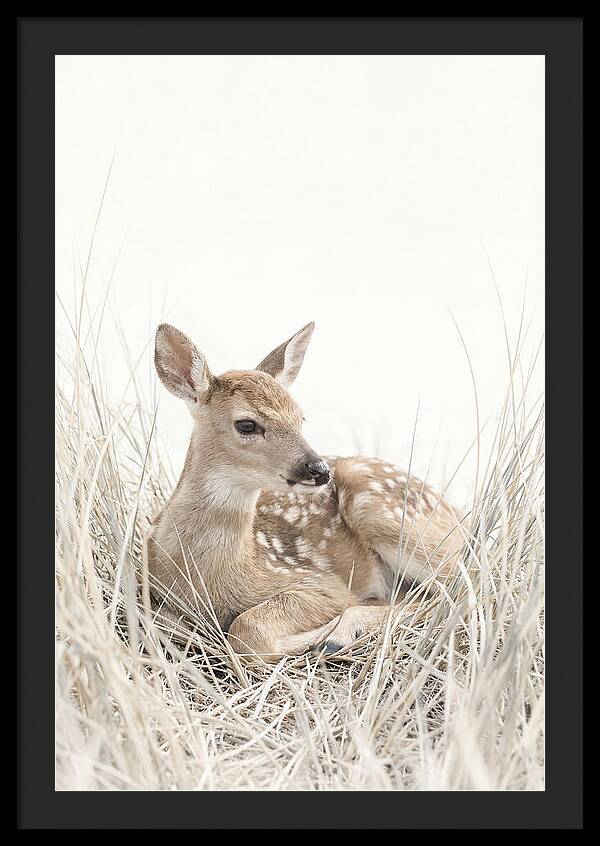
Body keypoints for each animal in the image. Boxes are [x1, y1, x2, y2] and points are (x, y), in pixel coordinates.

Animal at [144, 321, 464, 660]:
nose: (319, 470)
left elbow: (248, 630)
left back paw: (338, 635)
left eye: (301, 418)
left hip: (382, 510)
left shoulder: (320, 582)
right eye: (247, 425)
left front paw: (314, 638)